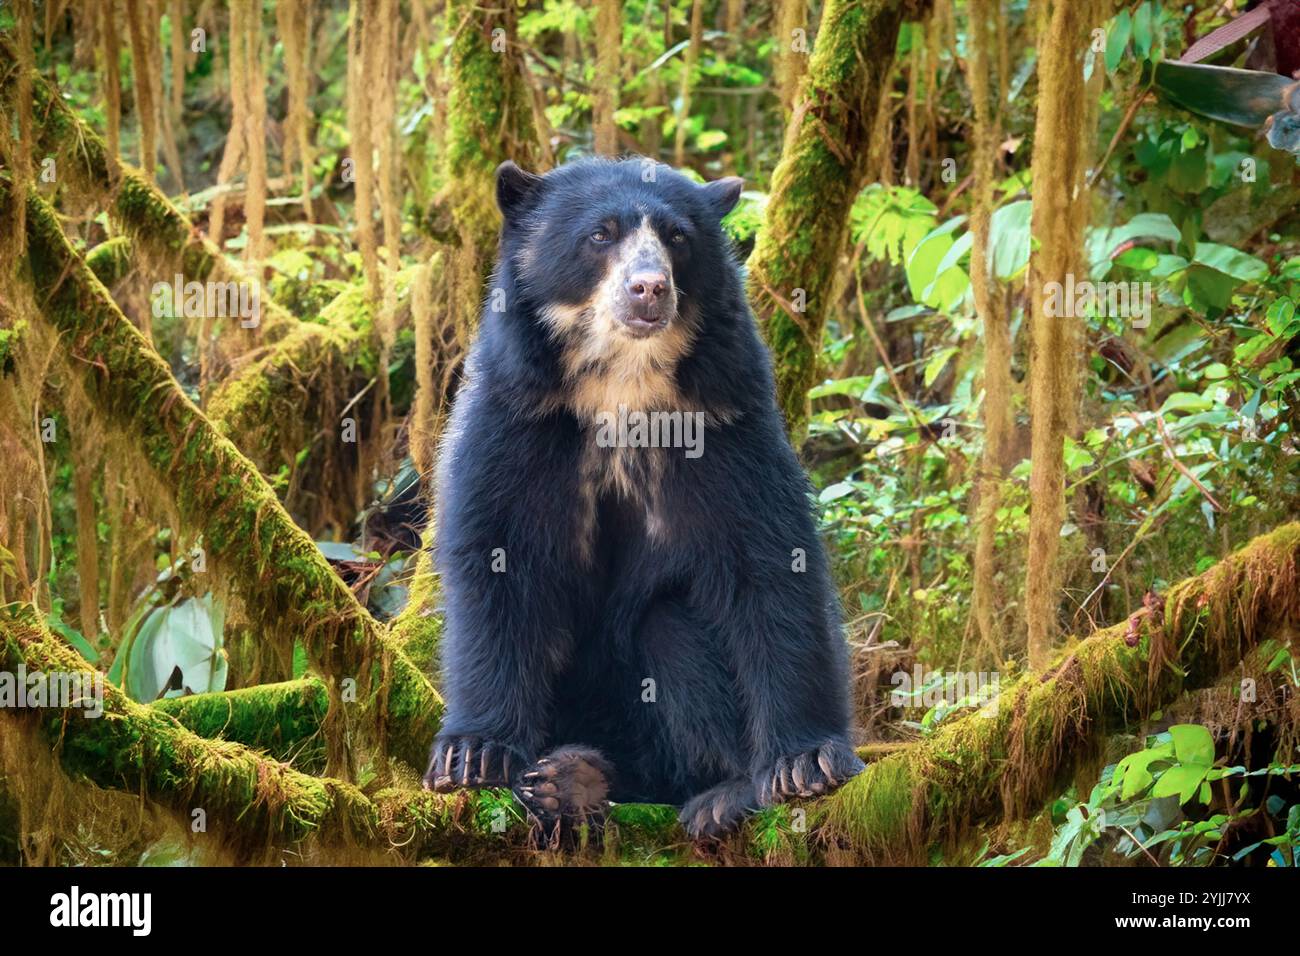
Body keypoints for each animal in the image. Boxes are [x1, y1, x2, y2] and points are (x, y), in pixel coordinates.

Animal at [423, 157, 863, 837]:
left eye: (678, 237)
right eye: (601, 234)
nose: (649, 289)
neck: (623, 382)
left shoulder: (725, 417)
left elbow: (771, 562)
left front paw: (806, 762)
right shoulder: (516, 413)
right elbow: (496, 559)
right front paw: (472, 754)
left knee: (670, 627)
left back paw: (709, 793)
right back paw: (567, 781)